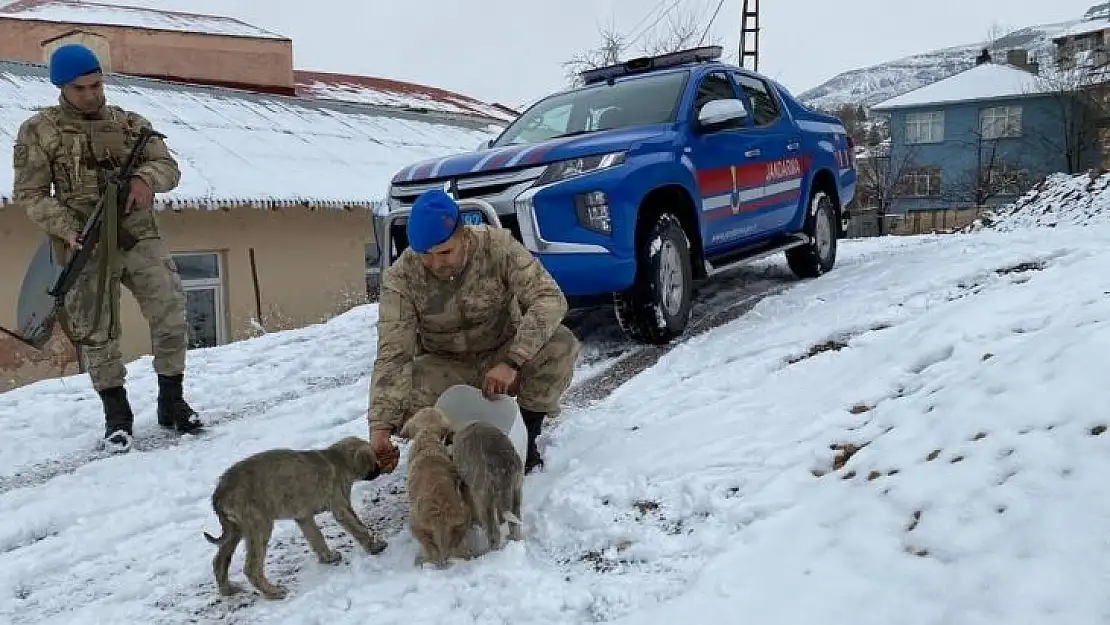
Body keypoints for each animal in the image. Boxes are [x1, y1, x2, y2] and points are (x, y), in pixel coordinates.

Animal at [202, 435, 388, 599]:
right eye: (375, 458)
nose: (380, 470)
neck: (338, 460)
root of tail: (219, 492)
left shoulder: (304, 517)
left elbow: (316, 538)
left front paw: (328, 557)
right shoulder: (340, 508)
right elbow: (359, 528)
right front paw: (374, 546)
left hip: (236, 530)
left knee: (219, 561)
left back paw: (228, 590)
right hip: (259, 525)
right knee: (251, 568)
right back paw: (273, 593)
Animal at [448, 419, 521, 552]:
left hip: (484, 494)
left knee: (493, 530)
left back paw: (492, 550)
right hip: (517, 486)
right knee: (515, 518)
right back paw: (514, 540)